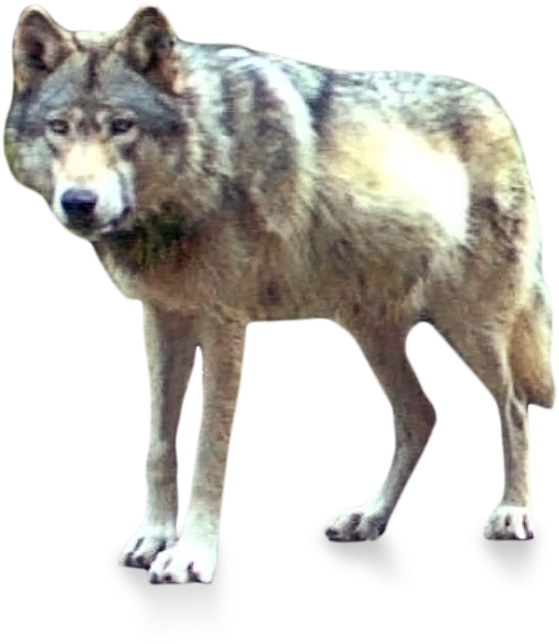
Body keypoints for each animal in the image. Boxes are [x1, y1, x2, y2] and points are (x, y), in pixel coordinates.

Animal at [4, 2, 556, 585]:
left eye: (121, 126)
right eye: (59, 128)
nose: (79, 201)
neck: (205, 163)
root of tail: (497, 108)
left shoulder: (223, 324)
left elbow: (208, 451)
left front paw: (190, 555)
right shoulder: (162, 318)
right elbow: (159, 447)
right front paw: (153, 538)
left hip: (469, 324)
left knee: (513, 407)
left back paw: (512, 513)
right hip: (370, 333)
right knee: (421, 415)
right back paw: (369, 518)